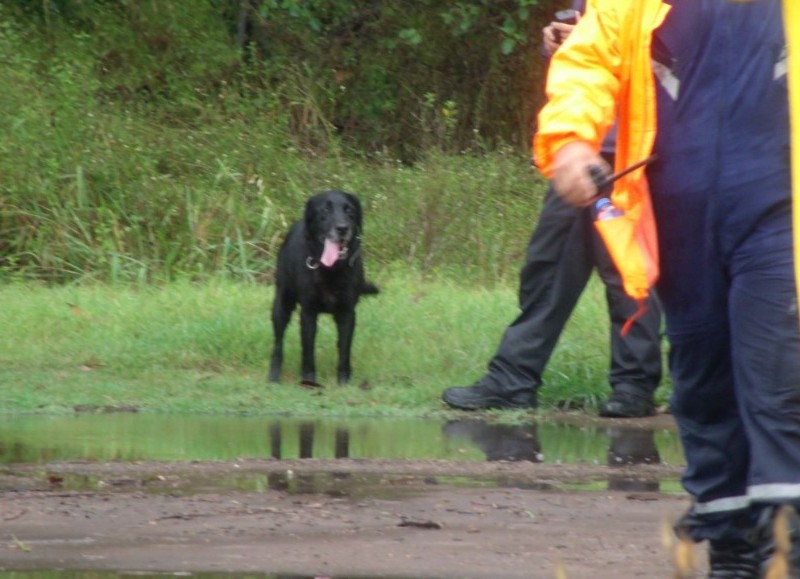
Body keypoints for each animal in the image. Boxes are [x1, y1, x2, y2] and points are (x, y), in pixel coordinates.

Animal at [268, 190, 378, 388]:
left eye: (349, 210)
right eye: (325, 209)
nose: (342, 228)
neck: (332, 269)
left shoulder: (347, 312)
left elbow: (344, 348)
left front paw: (344, 381)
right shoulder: (308, 312)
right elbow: (308, 349)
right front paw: (309, 381)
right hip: (282, 304)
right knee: (278, 343)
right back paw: (274, 376)